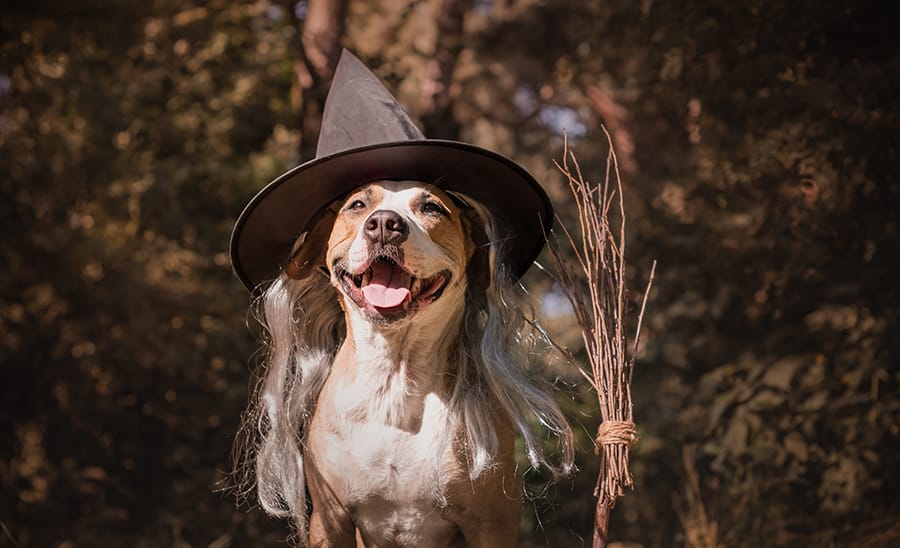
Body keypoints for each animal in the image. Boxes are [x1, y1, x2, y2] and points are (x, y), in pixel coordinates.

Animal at [236, 181, 572, 548]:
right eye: (357, 205)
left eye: (432, 208)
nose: (384, 223)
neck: (394, 377)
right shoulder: (329, 519)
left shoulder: (491, 521)